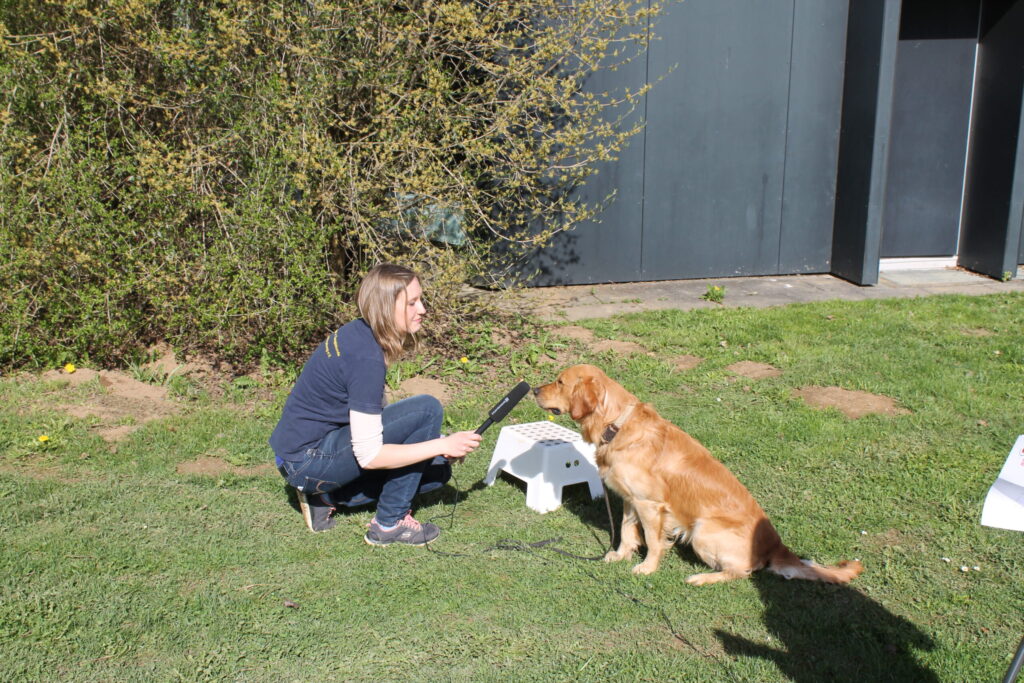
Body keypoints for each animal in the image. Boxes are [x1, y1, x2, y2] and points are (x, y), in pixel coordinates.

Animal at [536, 366, 864, 585]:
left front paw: (647, 568)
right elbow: (628, 532)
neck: (616, 425)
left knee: (743, 572)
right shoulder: (630, 499)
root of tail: (776, 546)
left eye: (560, 381)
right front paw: (619, 555)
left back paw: (701, 578)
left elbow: (653, 541)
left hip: (703, 529)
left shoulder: (650, 504)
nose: (535, 390)